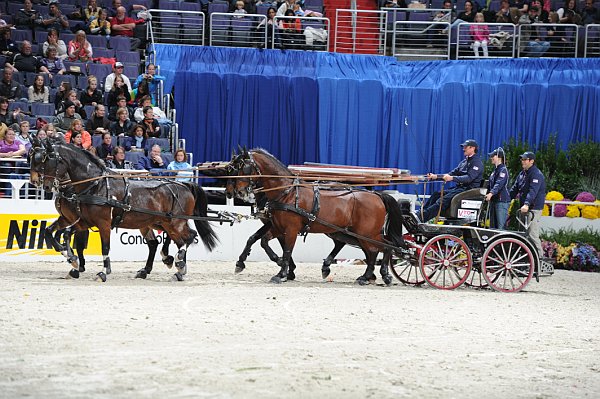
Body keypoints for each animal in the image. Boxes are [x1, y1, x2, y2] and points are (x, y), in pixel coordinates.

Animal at [29, 139, 218, 282]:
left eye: (47, 160)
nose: (40, 184)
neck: (94, 185)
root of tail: (184, 185)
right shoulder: (82, 221)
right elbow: (60, 233)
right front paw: (72, 261)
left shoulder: (103, 223)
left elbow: (104, 247)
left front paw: (102, 272)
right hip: (159, 222)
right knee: (167, 242)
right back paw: (168, 268)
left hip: (175, 222)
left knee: (188, 237)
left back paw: (178, 265)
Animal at [227, 149, 406, 284]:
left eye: (244, 168)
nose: (237, 192)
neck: (286, 193)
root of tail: (377, 195)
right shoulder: (276, 226)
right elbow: (261, 240)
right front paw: (276, 264)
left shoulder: (290, 229)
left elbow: (287, 249)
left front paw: (282, 273)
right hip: (352, 232)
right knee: (379, 248)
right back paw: (374, 275)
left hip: (366, 233)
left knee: (380, 248)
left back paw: (371, 275)